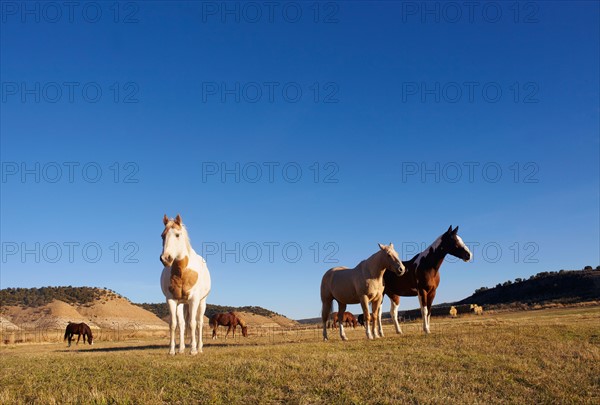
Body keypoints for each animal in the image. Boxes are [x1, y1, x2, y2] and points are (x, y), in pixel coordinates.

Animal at [161, 215, 212, 354]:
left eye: (177, 235)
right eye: (162, 236)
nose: (165, 258)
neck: (182, 272)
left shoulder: (194, 300)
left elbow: (193, 323)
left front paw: (193, 350)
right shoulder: (171, 300)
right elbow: (174, 324)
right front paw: (172, 350)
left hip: (201, 302)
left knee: (199, 323)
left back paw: (199, 348)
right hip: (181, 304)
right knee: (182, 324)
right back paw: (181, 349)